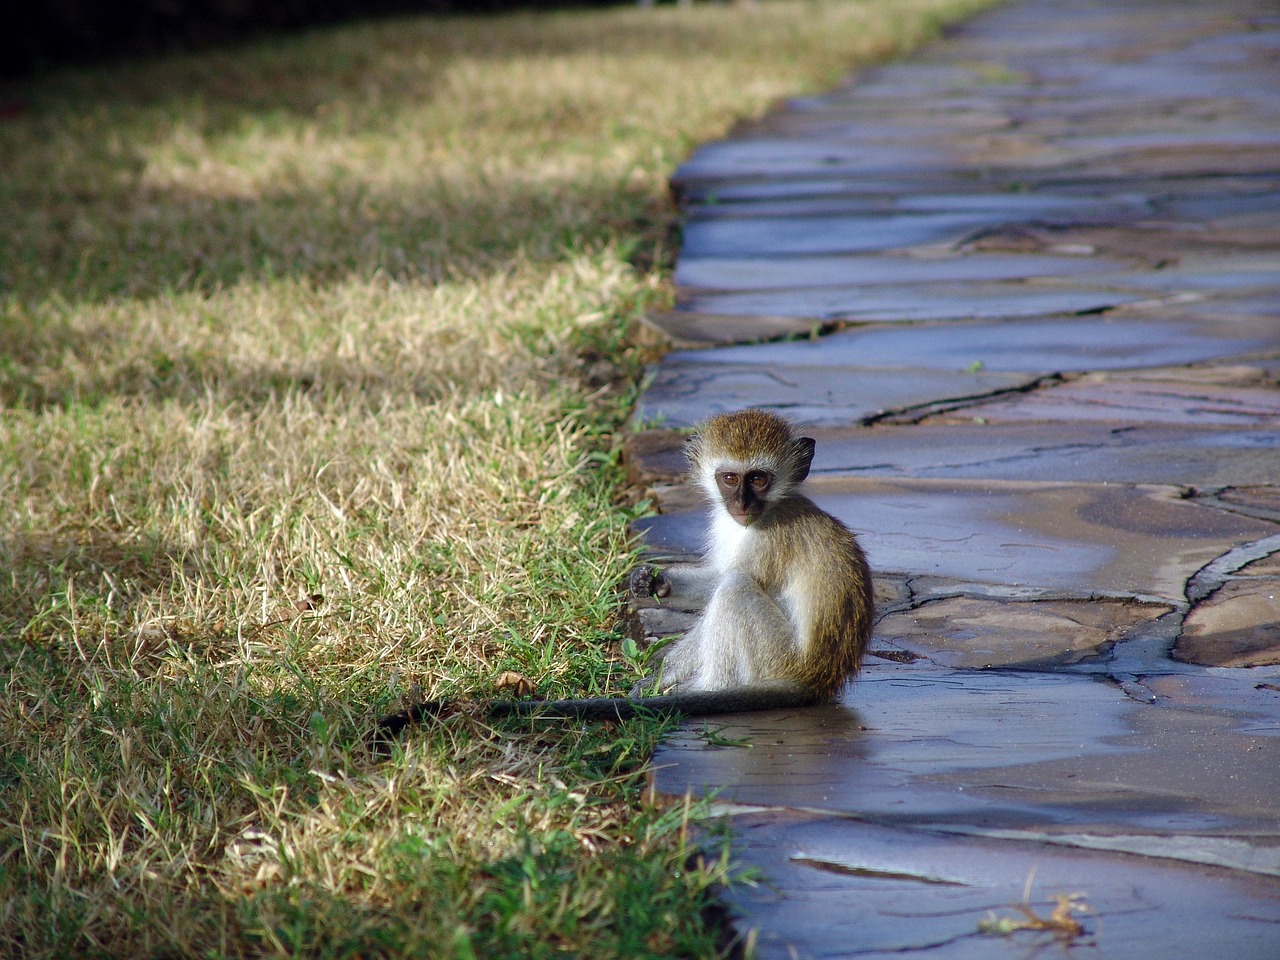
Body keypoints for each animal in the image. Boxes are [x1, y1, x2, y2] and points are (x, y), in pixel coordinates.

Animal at [366, 409, 875, 757]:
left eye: (760, 479)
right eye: (730, 478)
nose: (743, 505)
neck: (765, 514)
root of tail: (820, 676)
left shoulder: (770, 539)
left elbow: (730, 582)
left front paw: (658, 684)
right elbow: (710, 578)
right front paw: (654, 583)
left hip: (778, 658)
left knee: (735, 592)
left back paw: (704, 693)